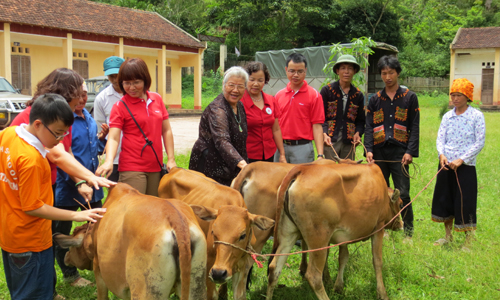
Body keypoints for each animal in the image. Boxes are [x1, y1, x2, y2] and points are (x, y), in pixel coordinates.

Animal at [55, 183, 209, 300]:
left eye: (72, 248)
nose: (66, 257)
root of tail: (174, 217)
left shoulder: (99, 270)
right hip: (196, 286)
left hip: (146, 291)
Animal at [158, 168, 274, 300]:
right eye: (213, 232)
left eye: (243, 235)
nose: (219, 273)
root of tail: (175, 169)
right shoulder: (209, 267)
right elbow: (212, 295)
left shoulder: (242, 268)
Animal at [266, 164, 402, 300]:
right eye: (401, 204)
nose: (401, 224)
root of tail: (302, 169)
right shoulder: (379, 226)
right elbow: (377, 261)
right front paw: (382, 293)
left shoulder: (344, 236)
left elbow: (343, 257)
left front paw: (338, 287)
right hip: (318, 239)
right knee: (314, 276)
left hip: (288, 235)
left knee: (274, 269)